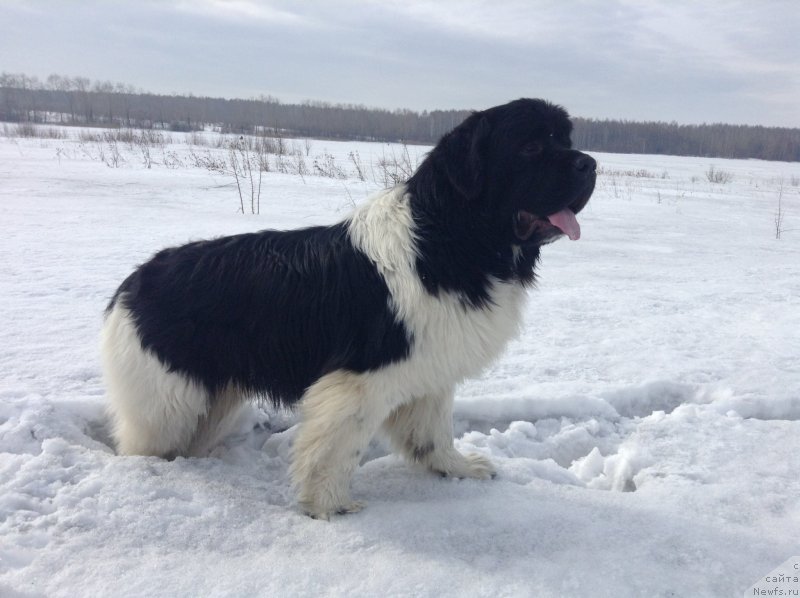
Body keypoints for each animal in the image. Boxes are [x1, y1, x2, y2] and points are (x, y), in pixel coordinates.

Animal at [101, 98, 592, 520]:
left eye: (565, 139)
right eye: (531, 147)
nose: (590, 163)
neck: (450, 239)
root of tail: (130, 284)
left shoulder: (431, 365)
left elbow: (432, 432)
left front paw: (456, 469)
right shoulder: (361, 378)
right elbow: (337, 448)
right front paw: (329, 506)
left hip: (212, 395)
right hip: (167, 401)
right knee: (145, 440)